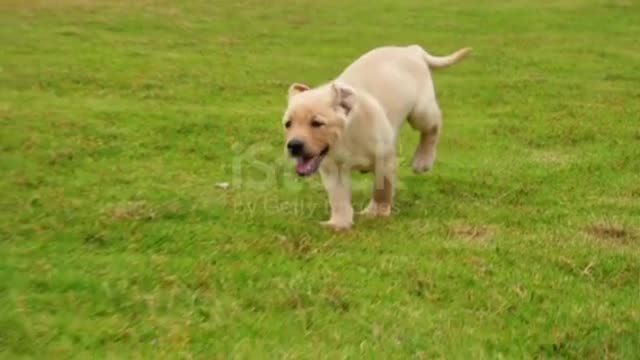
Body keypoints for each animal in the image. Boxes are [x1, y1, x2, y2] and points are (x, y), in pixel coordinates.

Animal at [282, 45, 472, 231]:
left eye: (317, 123)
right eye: (288, 124)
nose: (294, 145)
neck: (345, 136)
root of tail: (411, 49)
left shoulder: (385, 160)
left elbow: (382, 189)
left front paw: (376, 213)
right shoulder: (332, 169)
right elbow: (338, 197)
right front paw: (339, 223)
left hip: (421, 112)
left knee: (433, 127)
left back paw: (423, 160)